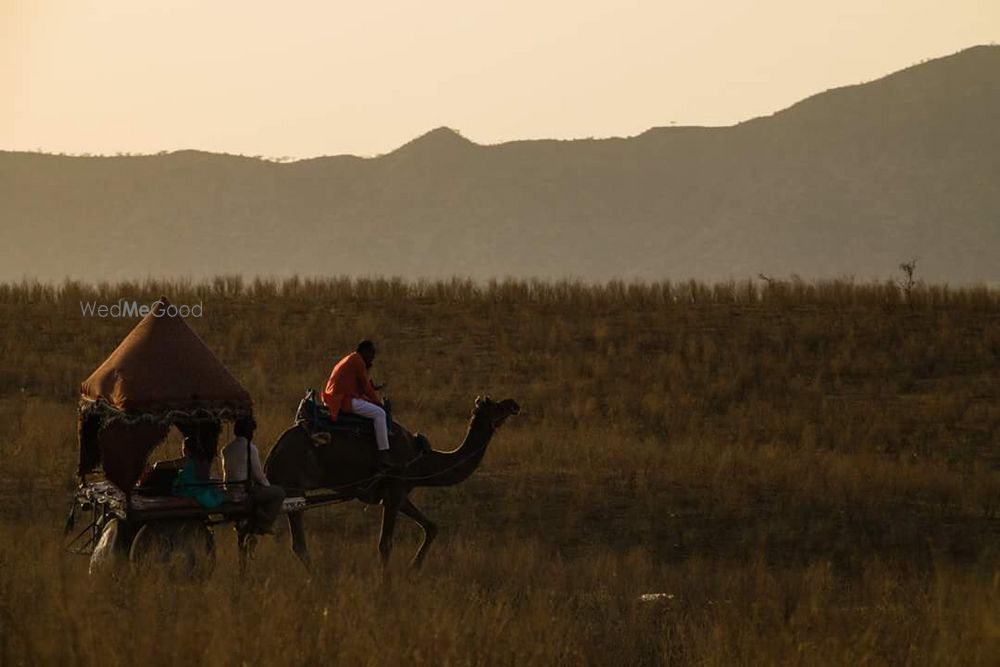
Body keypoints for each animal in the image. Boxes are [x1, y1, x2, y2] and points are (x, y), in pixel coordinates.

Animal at [262, 394, 520, 572]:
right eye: (497, 406)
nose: (514, 403)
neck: (421, 459)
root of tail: (272, 455)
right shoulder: (395, 490)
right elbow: (385, 544)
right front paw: (386, 584)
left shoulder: (399, 492)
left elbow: (431, 527)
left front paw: (413, 568)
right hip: (292, 486)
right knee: (297, 542)